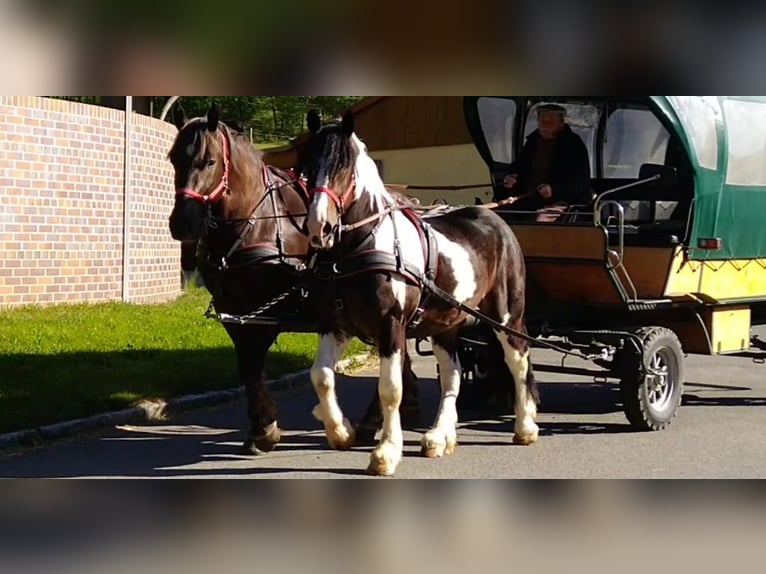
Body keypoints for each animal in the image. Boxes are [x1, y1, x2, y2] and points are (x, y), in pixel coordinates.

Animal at [167, 103, 420, 455]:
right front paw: (261, 427)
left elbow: (254, 363)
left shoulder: (266, 315)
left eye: (209, 161)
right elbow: (247, 367)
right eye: (173, 158)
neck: (254, 222)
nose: (182, 222)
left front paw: (265, 429)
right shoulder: (238, 313)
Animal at [300, 110, 541, 476]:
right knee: (453, 375)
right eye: (307, 166)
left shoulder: (391, 326)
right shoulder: (335, 324)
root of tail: (496, 219)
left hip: (505, 316)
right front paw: (341, 431)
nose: (318, 227)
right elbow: (322, 376)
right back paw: (439, 437)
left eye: (345, 166)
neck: (360, 247)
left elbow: (390, 389)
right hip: (446, 325)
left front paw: (386, 452)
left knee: (518, 361)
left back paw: (525, 427)